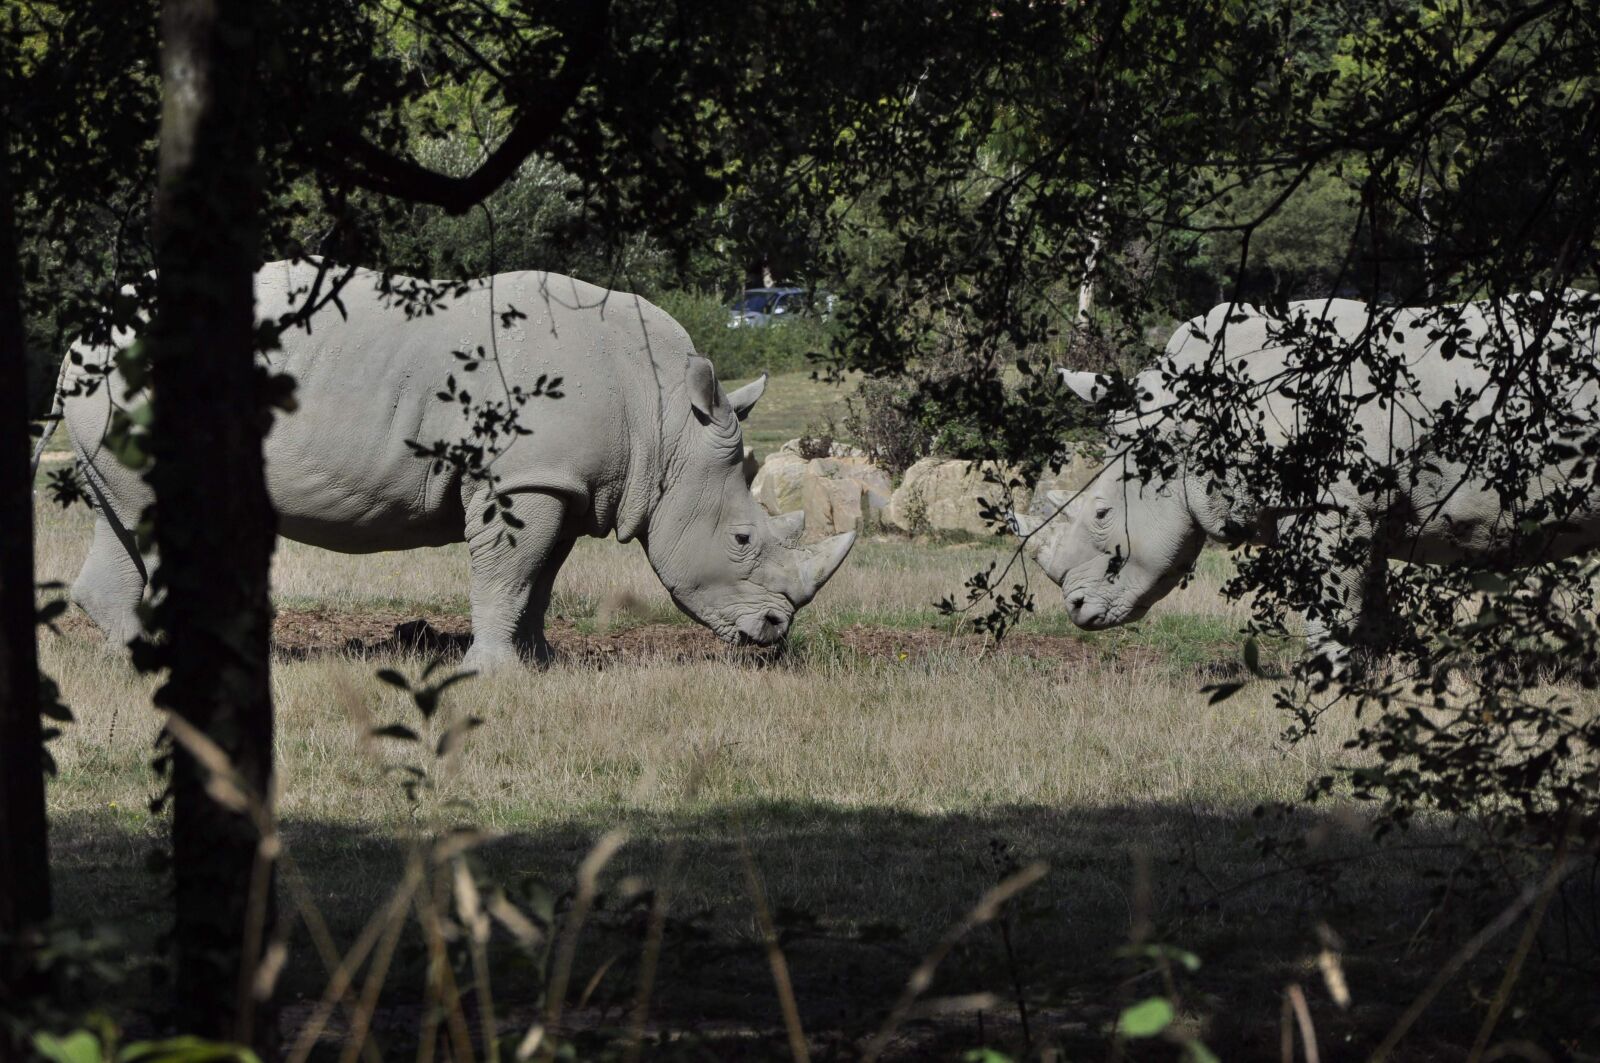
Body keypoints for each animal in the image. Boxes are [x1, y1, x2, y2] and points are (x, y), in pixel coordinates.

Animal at [55, 260, 855, 668]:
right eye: (742, 539)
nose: (774, 632)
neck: (664, 424)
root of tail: (80, 338)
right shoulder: (521, 477)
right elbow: (508, 575)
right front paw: (492, 674)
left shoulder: (559, 480)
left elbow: (539, 578)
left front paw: (539, 664)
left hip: (116, 391)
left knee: (124, 521)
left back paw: (144, 663)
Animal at [1015, 292, 1600, 666]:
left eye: (1102, 515)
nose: (1075, 609)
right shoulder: (1358, 505)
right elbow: (1368, 595)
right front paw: (1377, 675)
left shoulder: (1335, 504)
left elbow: (1332, 601)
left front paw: (1327, 683)